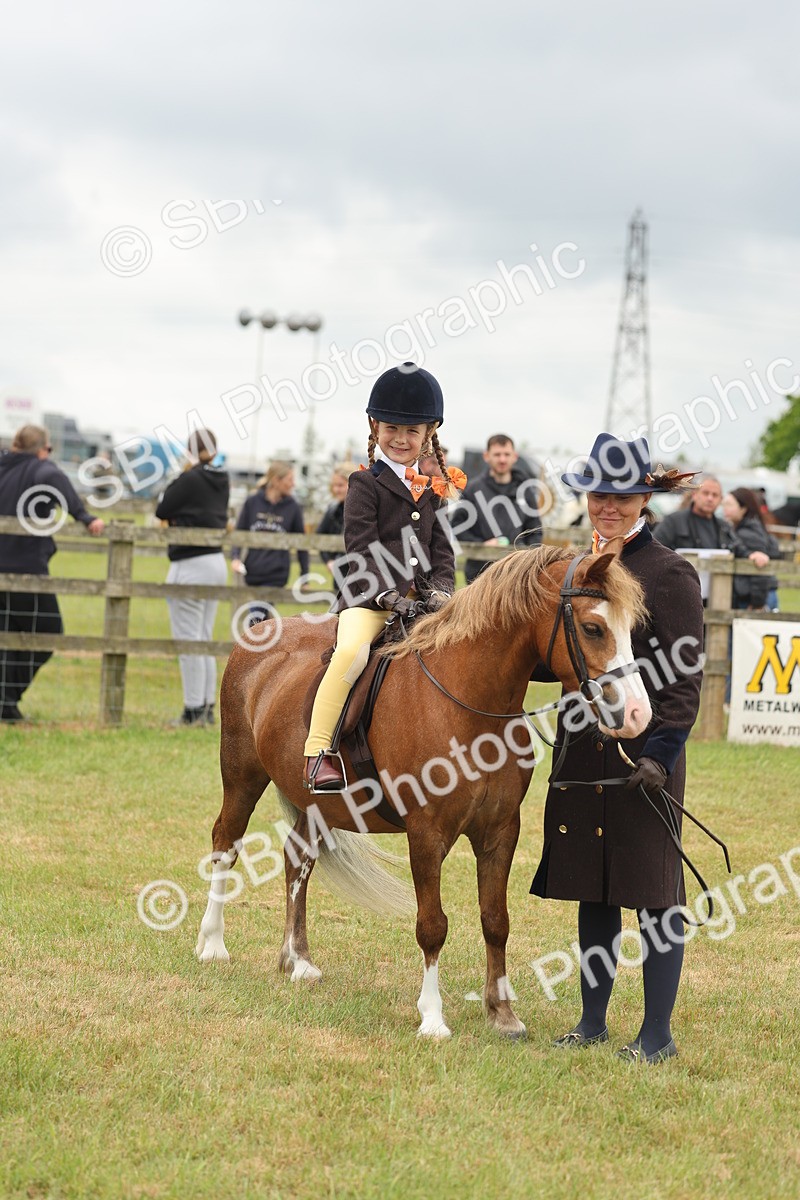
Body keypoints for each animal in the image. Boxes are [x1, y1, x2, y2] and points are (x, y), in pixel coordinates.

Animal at [196, 543, 651, 1040]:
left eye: (630, 628)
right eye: (592, 628)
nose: (637, 714)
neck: (469, 703)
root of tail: (260, 633)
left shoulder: (500, 831)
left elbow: (496, 920)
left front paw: (502, 1014)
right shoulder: (427, 834)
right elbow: (432, 926)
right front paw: (432, 1018)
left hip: (320, 807)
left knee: (298, 858)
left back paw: (297, 961)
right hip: (242, 774)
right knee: (226, 843)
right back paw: (212, 944)